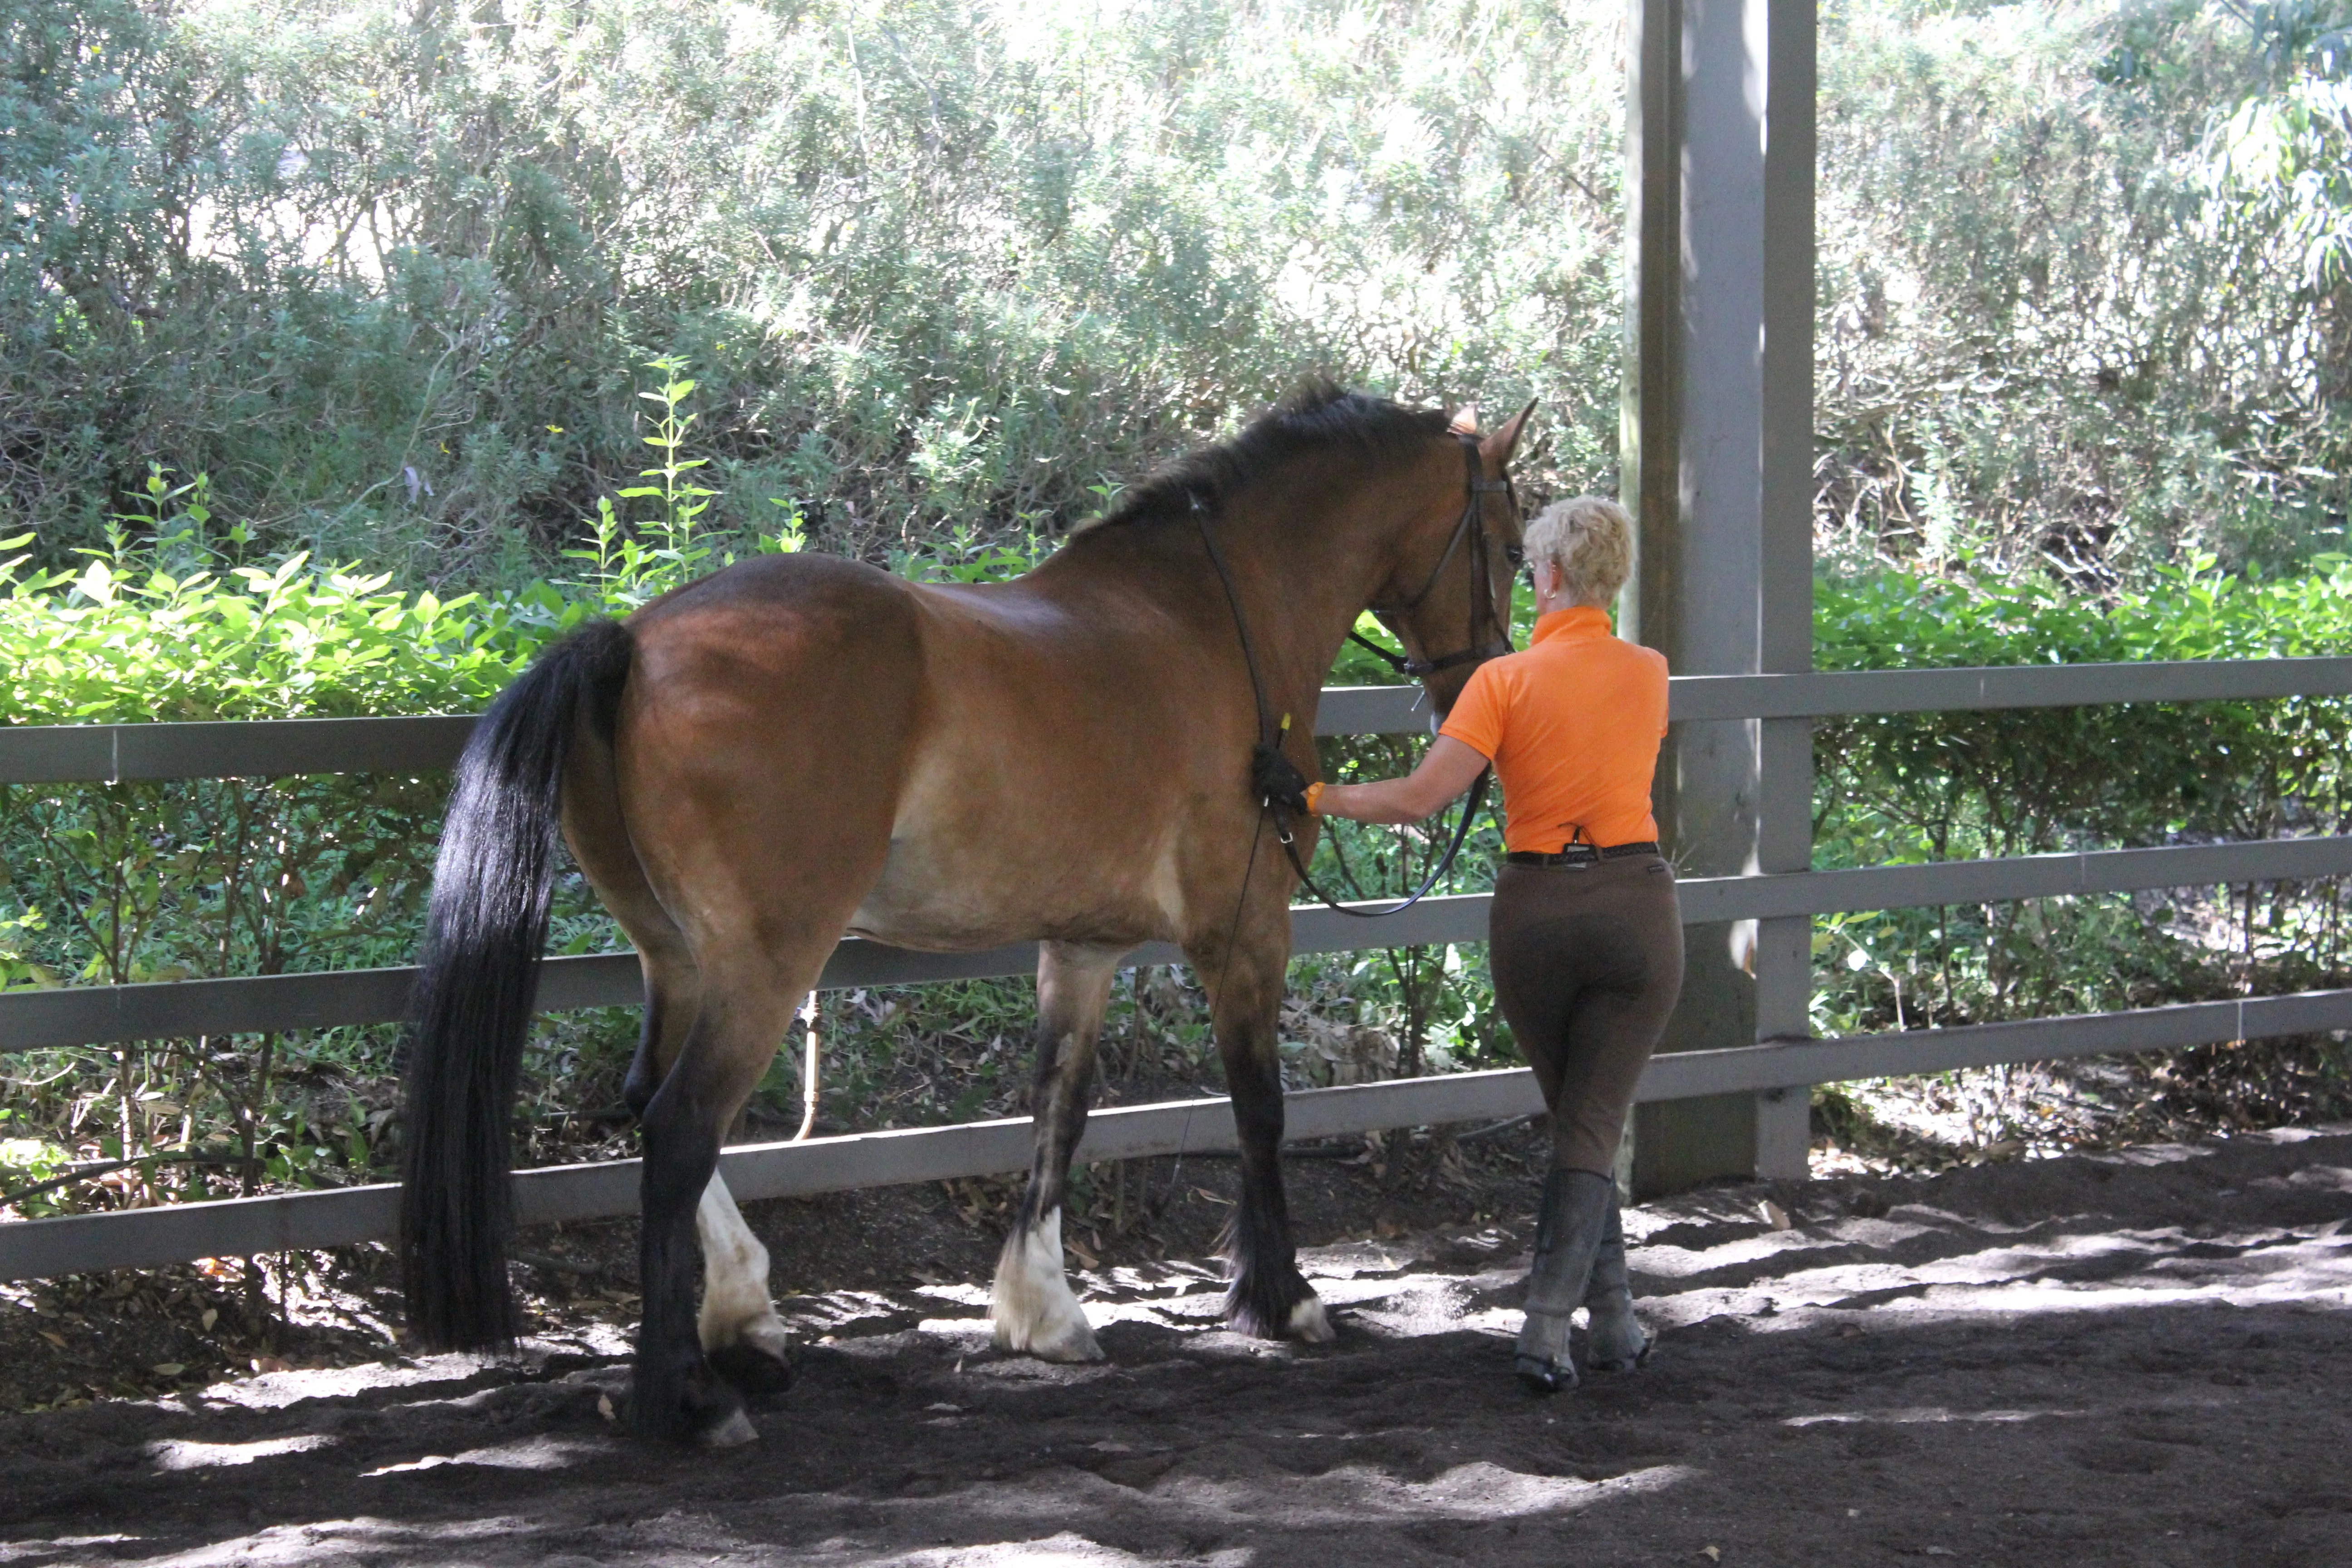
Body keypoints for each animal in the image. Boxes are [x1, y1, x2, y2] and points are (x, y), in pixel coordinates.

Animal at [395, 383, 1533, 1448]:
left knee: (648, 1104)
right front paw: (1283, 1299)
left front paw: (1045, 1312)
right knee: (679, 1131)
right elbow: (1260, 1107)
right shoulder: (1246, 933)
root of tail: (632, 640)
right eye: (1511, 542)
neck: (1212, 623)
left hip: (673, 956)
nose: (1478, 694)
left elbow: (1059, 1109)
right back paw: (689, 1395)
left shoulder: (1081, 948)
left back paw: (744, 1322)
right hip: (766, 966)